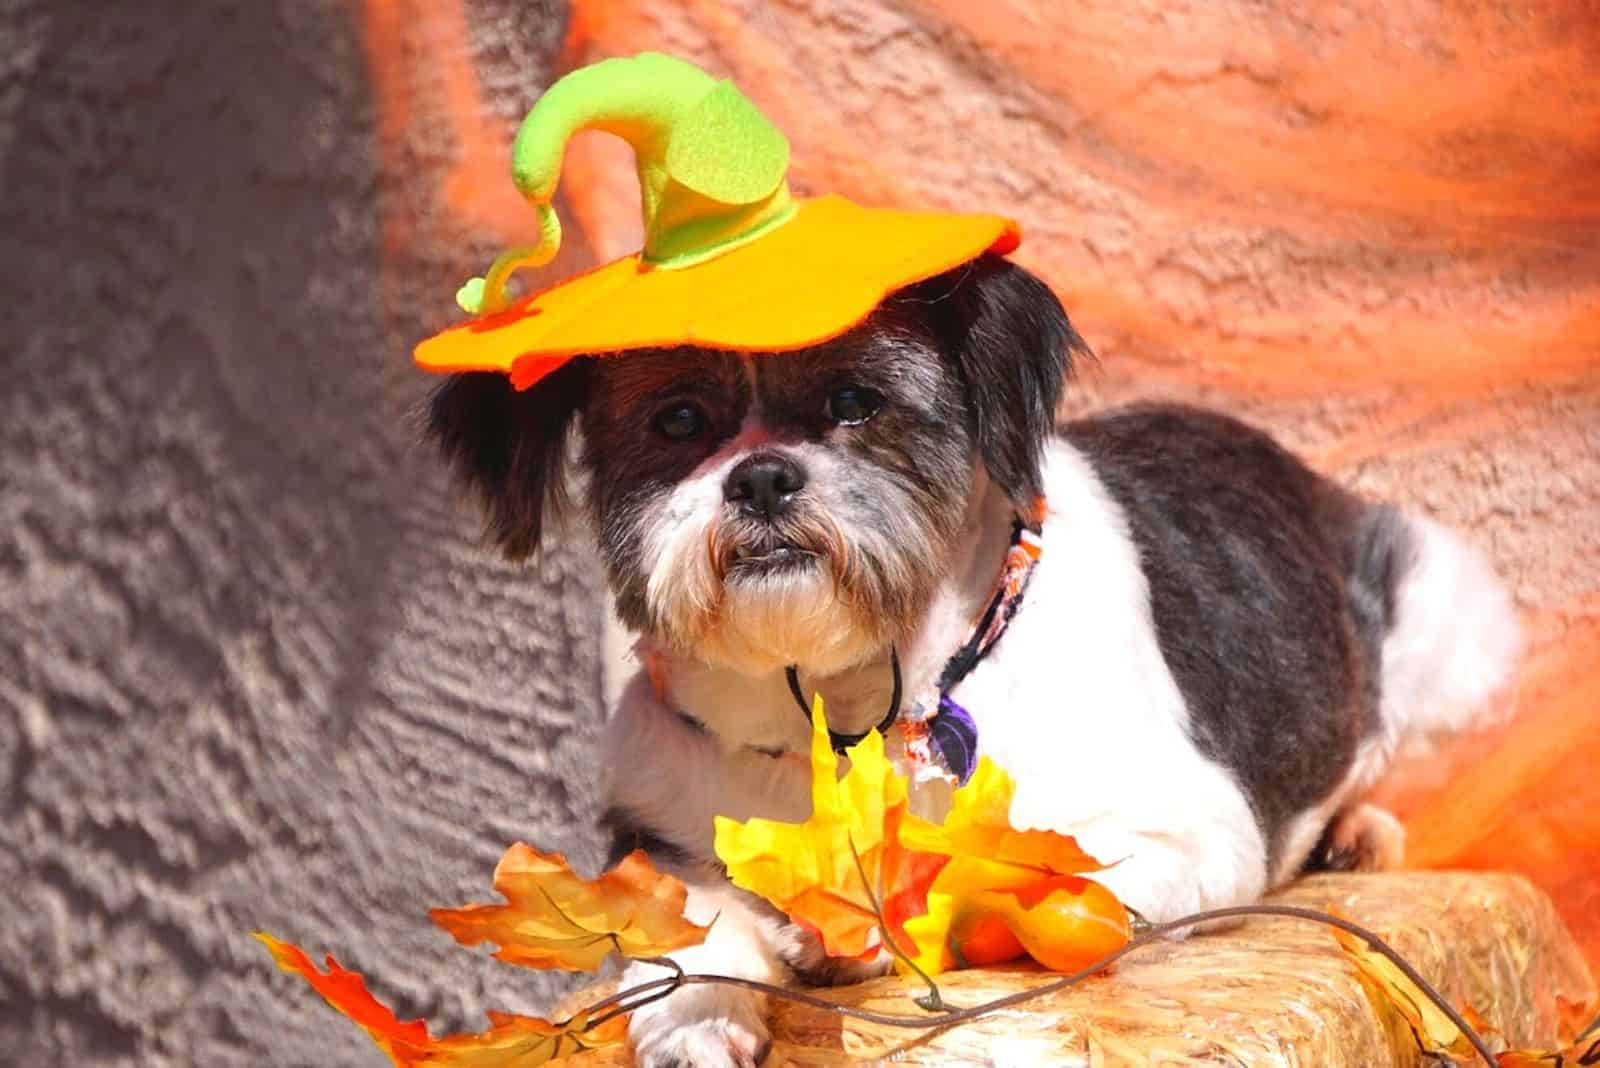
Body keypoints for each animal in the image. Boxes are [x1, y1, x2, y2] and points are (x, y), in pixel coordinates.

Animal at [422, 252, 1510, 1068]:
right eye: (677, 420)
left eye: (855, 400)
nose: (761, 475)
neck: (842, 713)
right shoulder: (659, 826)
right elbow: (687, 926)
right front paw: (705, 1005)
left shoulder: (1186, 831)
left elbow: (1020, 882)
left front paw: (852, 931)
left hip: (1442, 602)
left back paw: (1358, 832)